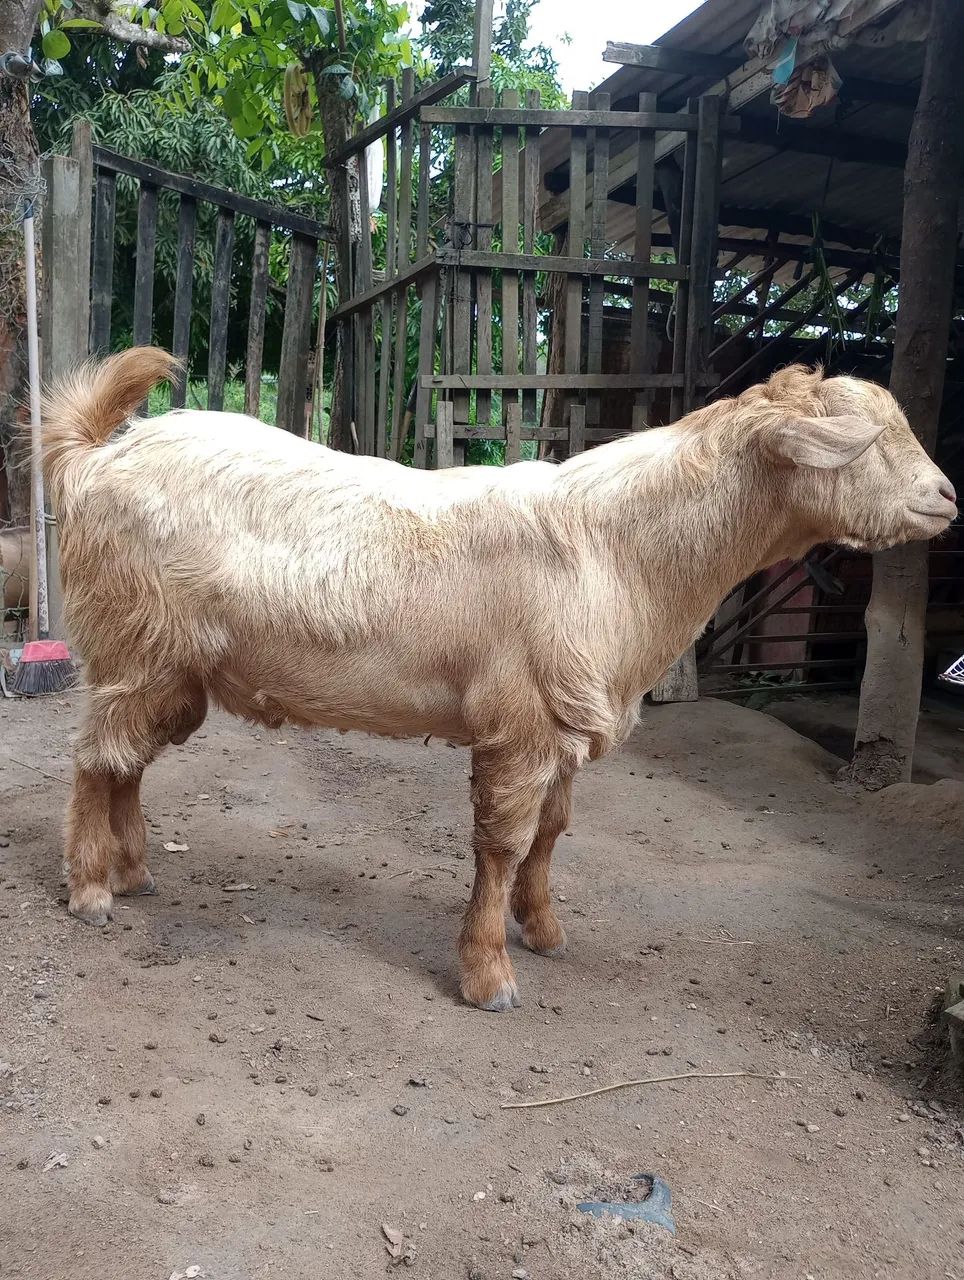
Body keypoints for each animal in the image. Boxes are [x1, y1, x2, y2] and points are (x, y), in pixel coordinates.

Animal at [42, 349, 957, 1010]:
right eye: (867, 440)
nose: (947, 498)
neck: (616, 548)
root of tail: (93, 459)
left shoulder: (562, 727)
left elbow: (550, 835)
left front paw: (543, 930)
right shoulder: (520, 723)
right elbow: (503, 844)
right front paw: (488, 975)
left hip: (169, 665)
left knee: (126, 761)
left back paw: (132, 871)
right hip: (134, 643)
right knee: (93, 759)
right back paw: (89, 891)